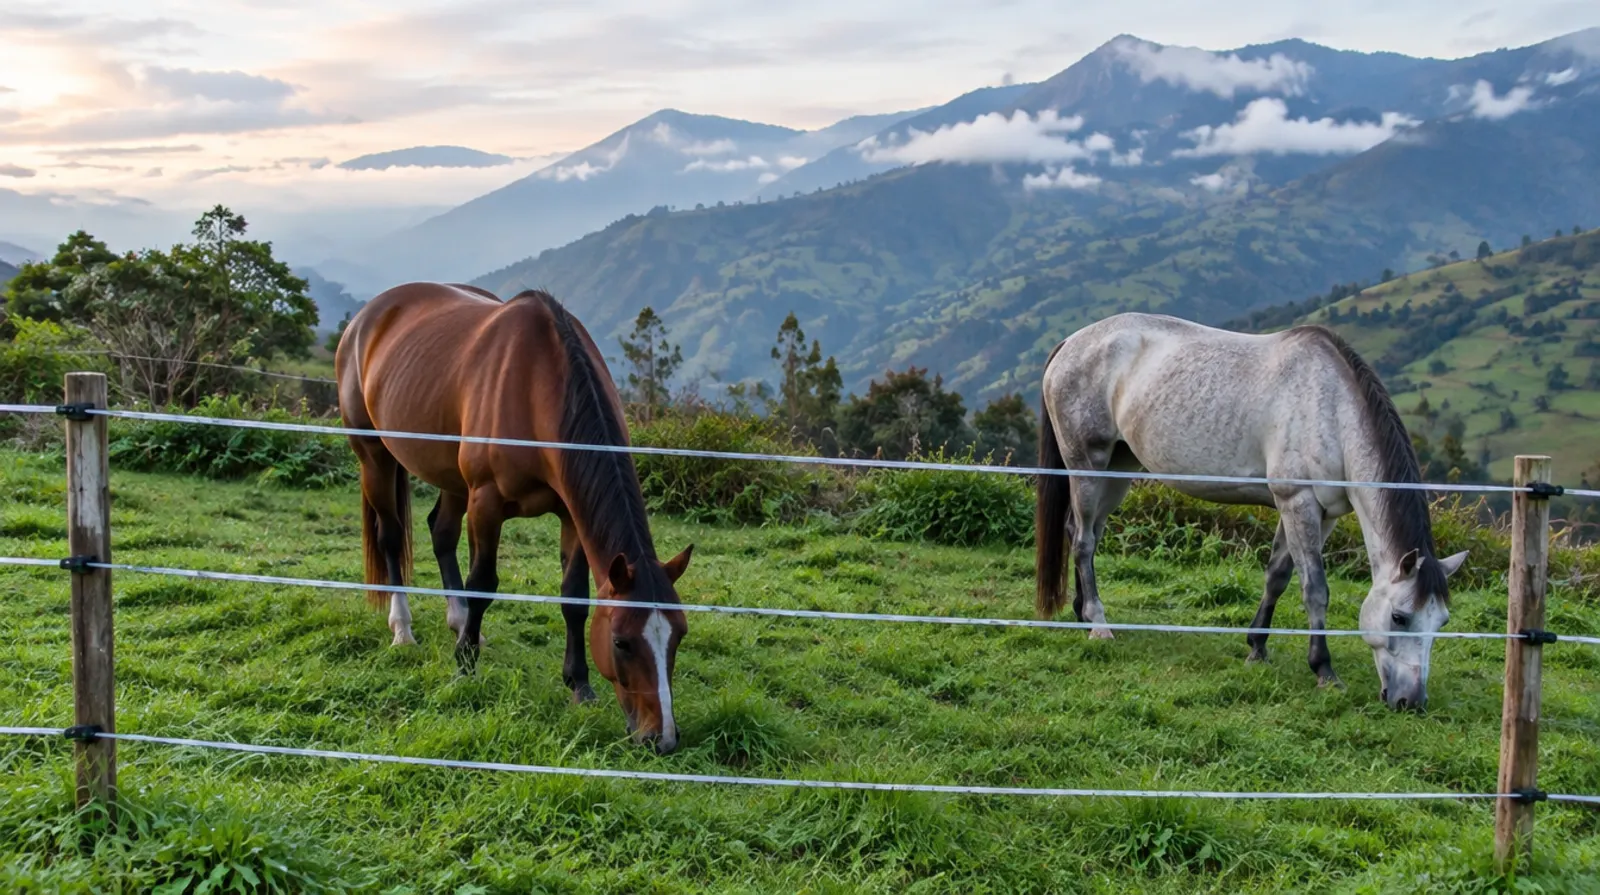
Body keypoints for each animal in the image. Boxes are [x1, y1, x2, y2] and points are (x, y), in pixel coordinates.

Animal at [335, 282, 694, 753]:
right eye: (621, 642)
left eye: (679, 635)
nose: (662, 737)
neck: (538, 384)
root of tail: (365, 318)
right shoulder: (486, 503)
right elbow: (483, 584)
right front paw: (464, 667)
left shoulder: (570, 515)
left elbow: (574, 598)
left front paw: (580, 685)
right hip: (375, 456)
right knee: (392, 538)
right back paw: (404, 630)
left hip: (451, 479)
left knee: (440, 533)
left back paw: (461, 624)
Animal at [1034, 313, 1468, 712]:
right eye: (1399, 617)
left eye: (1442, 622)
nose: (1410, 701)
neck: (1332, 408)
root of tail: (1071, 342)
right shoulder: (1297, 501)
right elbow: (1315, 589)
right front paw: (1324, 670)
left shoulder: (1319, 512)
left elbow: (1277, 576)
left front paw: (1256, 647)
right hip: (1087, 465)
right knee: (1084, 540)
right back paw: (1099, 625)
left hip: (1118, 468)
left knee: (1083, 533)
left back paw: (1081, 614)